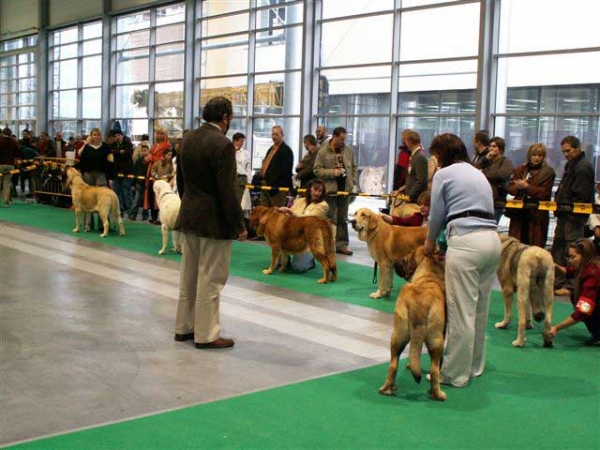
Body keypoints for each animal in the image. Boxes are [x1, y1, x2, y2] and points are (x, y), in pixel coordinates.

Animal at [380, 246, 446, 400]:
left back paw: (387, 389)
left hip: (398, 335)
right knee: (434, 369)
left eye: (405, 258)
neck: (429, 274)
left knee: (393, 364)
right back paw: (438, 394)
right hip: (436, 340)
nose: (395, 262)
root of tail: (420, 305)